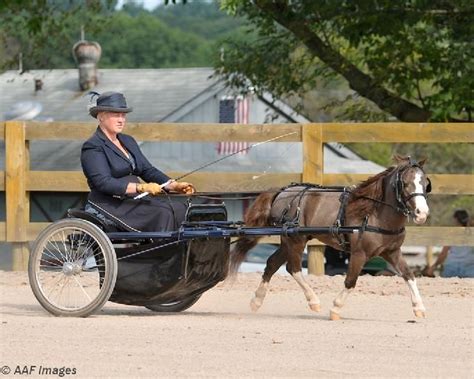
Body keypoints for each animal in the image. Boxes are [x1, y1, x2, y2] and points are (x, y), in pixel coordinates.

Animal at [231, 157, 432, 320]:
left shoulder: (392, 252)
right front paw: (335, 308)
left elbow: (409, 275)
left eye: (424, 183)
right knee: (293, 268)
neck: (373, 213)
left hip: (290, 240)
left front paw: (419, 307)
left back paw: (257, 300)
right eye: (405, 183)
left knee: (273, 263)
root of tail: (283, 192)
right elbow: (350, 281)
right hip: (295, 240)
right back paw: (313, 301)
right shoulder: (359, 253)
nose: (422, 213)